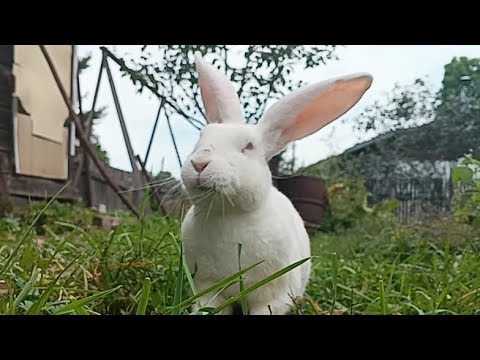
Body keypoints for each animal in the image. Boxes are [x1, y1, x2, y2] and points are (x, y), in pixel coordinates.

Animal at [182, 52, 374, 314]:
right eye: (202, 136)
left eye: (248, 146)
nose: (199, 164)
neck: (227, 214)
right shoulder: (207, 288)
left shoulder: (273, 296)